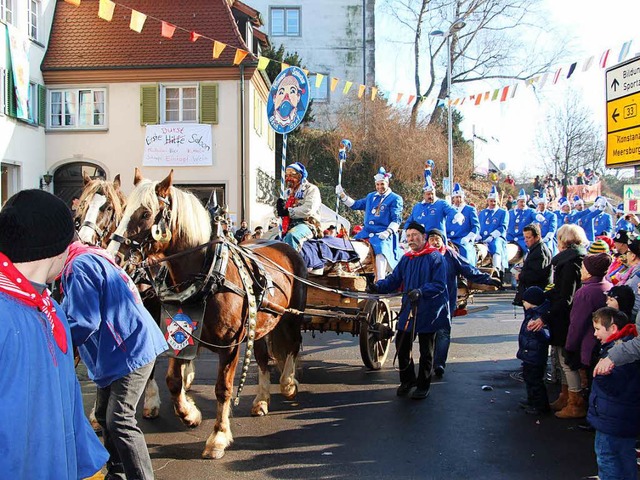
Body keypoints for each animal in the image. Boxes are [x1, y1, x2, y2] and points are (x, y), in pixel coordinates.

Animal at [107, 168, 308, 458]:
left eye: (145, 214)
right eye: (123, 210)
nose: (113, 256)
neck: (209, 273)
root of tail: (283, 244)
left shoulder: (231, 346)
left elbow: (223, 389)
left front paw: (218, 436)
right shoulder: (181, 333)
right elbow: (172, 380)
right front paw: (190, 414)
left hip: (292, 316)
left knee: (292, 344)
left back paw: (288, 383)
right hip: (260, 325)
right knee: (261, 357)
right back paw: (261, 399)